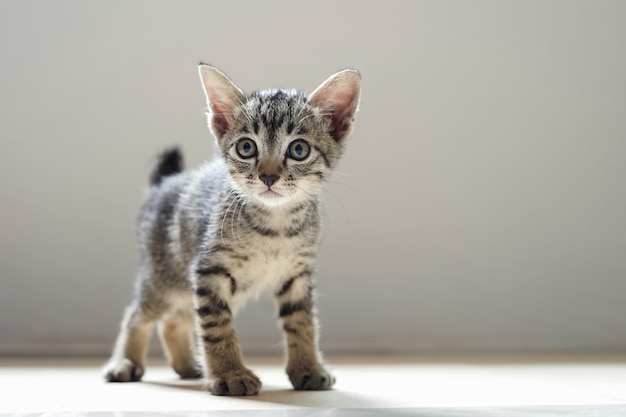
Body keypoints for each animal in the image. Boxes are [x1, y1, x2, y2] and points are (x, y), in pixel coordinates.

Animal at [103, 63, 360, 394]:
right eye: (246, 147)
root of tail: (162, 185)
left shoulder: (297, 275)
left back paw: (188, 366)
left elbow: (302, 322)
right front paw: (229, 374)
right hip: (162, 279)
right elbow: (216, 326)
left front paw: (308, 367)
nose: (268, 177)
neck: (275, 225)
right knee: (136, 315)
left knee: (174, 320)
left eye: (299, 149)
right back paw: (125, 362)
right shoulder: (209, 270)